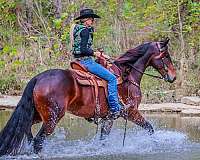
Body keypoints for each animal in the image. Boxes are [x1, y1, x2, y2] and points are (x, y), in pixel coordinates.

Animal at [0, 38, 175, 156]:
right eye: (166, 56)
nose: (173, 77)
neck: (127, 75)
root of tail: (38, 78)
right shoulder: (130, 112)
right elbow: (150, 128)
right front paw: (155, 145)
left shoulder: (109, 118)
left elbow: (103, 140)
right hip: (52, 118)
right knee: (38, 141)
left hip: (37, 115)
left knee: (26, 131)